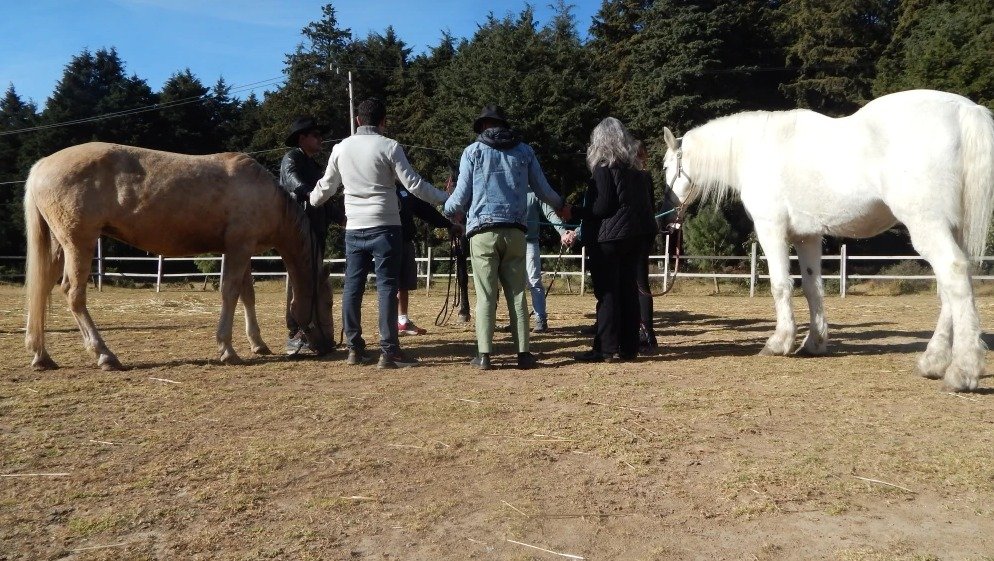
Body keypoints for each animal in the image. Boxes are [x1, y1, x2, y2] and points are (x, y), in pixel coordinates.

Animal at [24, 142, 336, 371]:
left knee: (40, 289)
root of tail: (41, 166)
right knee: (73, 294)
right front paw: (227, 349)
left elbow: (247, 295)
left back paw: (41, 355)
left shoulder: (240, 251)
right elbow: (230, 293)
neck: (267, 196)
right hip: (79, 244)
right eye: (328, 303)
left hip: (58, 246)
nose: (329, 346)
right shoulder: (239, 248)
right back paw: (105, 355)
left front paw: (258, 344)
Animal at [662, 89, 994, 391]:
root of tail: (965, 111)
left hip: (927, 225)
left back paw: (961, 373)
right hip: (952, 228)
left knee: (954, 273)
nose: (668, 220)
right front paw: (814, 342)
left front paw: (779, 342)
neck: (757, 150)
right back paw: (933, 362)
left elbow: (780, 285)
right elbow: (813, 288)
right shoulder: (807, 236)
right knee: (952, 286)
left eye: (666, 167)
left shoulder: (771, 228)